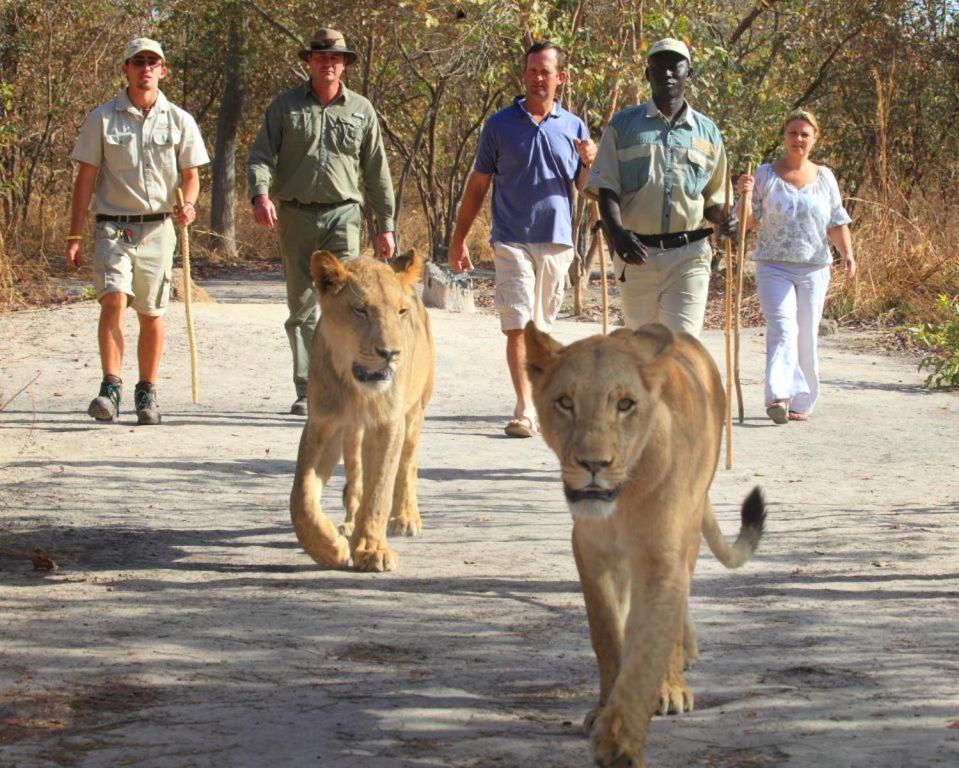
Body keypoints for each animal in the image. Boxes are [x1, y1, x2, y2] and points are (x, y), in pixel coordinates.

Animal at [286, 252, 434, 568]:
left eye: (401, 311)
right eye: (360, 310)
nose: (391, 353)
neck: (358, 391)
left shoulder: (388, 423)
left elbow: (379, 489)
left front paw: (371, 549)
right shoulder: (323, 422)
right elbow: (301, 495)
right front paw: (328, 548)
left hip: (416, 410)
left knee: (407, 464)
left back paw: (405, 518)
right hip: (352, 432)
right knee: (356, 476)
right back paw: (349, 525)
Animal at [524, 320, 764, 764]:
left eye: (625, 405)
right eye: (565, 402)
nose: (594, 465)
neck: (624, 499)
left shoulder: (662, 556)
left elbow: (648, 648)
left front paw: (621, 740)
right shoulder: (590, 550)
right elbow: (606, 632)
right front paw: (603, 709)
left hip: (690, 527)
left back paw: (674, 679)